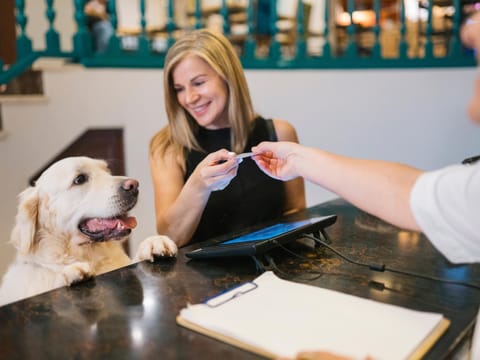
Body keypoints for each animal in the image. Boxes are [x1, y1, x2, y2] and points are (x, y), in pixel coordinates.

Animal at [0, 156, 177, 306]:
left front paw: (153, 243)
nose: (134, 185)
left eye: (107, 171)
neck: (89, 254)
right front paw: (70, 272)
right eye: (80, 179)